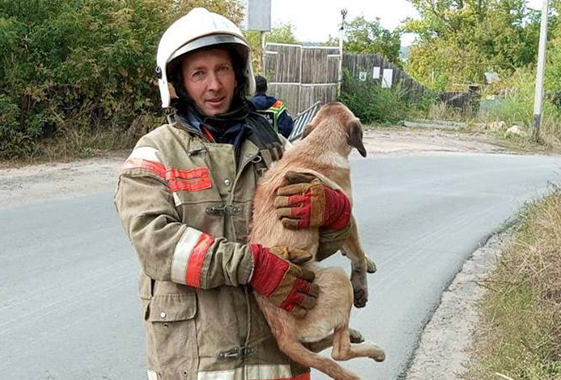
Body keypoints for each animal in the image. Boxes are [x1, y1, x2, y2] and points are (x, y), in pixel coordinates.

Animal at [249, 102, 384, 378]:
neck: (318, 143)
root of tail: (283, 338)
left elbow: (353, 250)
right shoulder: (347, 217)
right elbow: (357, 253)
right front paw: (362, 280)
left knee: (318, 346)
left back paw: (355, 335)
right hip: (337, 279)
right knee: (338, 352)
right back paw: (372, 349)